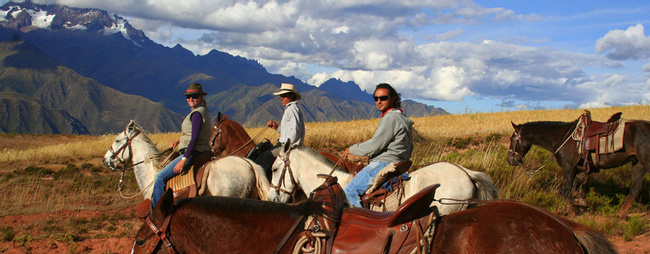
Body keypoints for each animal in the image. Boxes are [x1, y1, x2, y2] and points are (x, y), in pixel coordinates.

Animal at [506, 112, 648, 217]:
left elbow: (566, 190)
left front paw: (568, 211)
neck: (561, 137)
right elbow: (567, 190)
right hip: (638, 164)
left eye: (512, 139)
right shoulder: (574, 170)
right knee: (635, 189)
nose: (509, 159)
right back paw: (622, 213)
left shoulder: (568, 168)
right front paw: (576, 204)